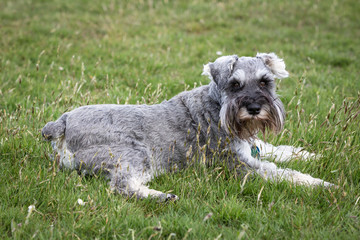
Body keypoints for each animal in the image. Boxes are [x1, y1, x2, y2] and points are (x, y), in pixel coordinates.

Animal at [41, 52, 332, 201]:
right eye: (235, 84)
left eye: (264, 81)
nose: (253, 108)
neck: (215, 104)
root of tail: (63, 122)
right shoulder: (238, 164)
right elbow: (280, 173)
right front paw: (319, 184)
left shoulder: (249, 147)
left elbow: (275, 148)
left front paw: (309, 155)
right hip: (135, 153)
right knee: (122, 186)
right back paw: (161, 196)